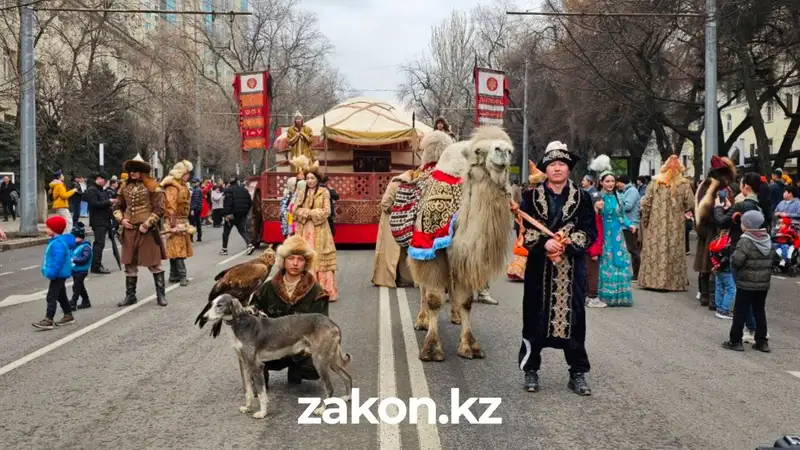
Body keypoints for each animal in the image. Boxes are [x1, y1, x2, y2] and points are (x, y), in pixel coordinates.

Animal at [410, 125, 516, 362]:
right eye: (478, 150)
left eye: (511, 150)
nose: (502, 151)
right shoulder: (431, 251)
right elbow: (433, 298)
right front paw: (431, 348)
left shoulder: (464, 256)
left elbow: (467, 300)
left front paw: (469, 345)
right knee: (422, 286)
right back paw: (421, 320)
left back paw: (455, 316)